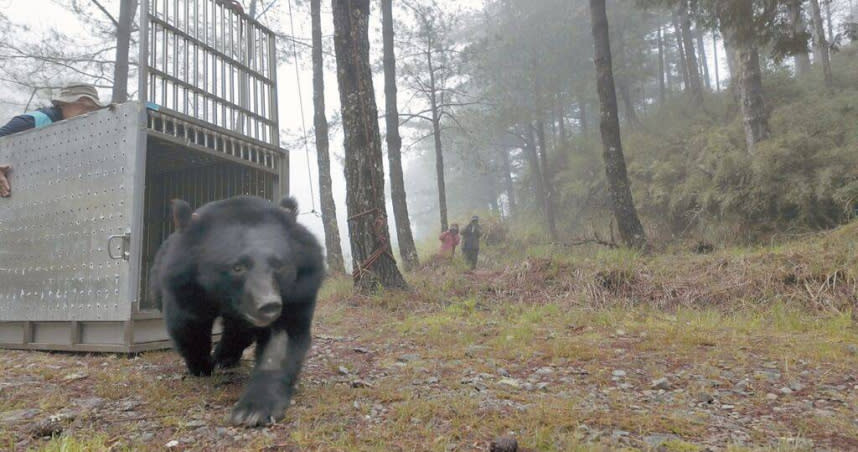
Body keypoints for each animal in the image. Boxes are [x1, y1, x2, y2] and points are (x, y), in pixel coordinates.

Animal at [149, 196, 322, 426]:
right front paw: (201, 366)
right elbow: (188, 325)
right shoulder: (185, 284)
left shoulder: (299, 288)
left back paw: (225, 356)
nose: (269, 305)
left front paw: (253, 410)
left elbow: (282, 338)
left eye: (278, 265)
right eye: (237, 267)